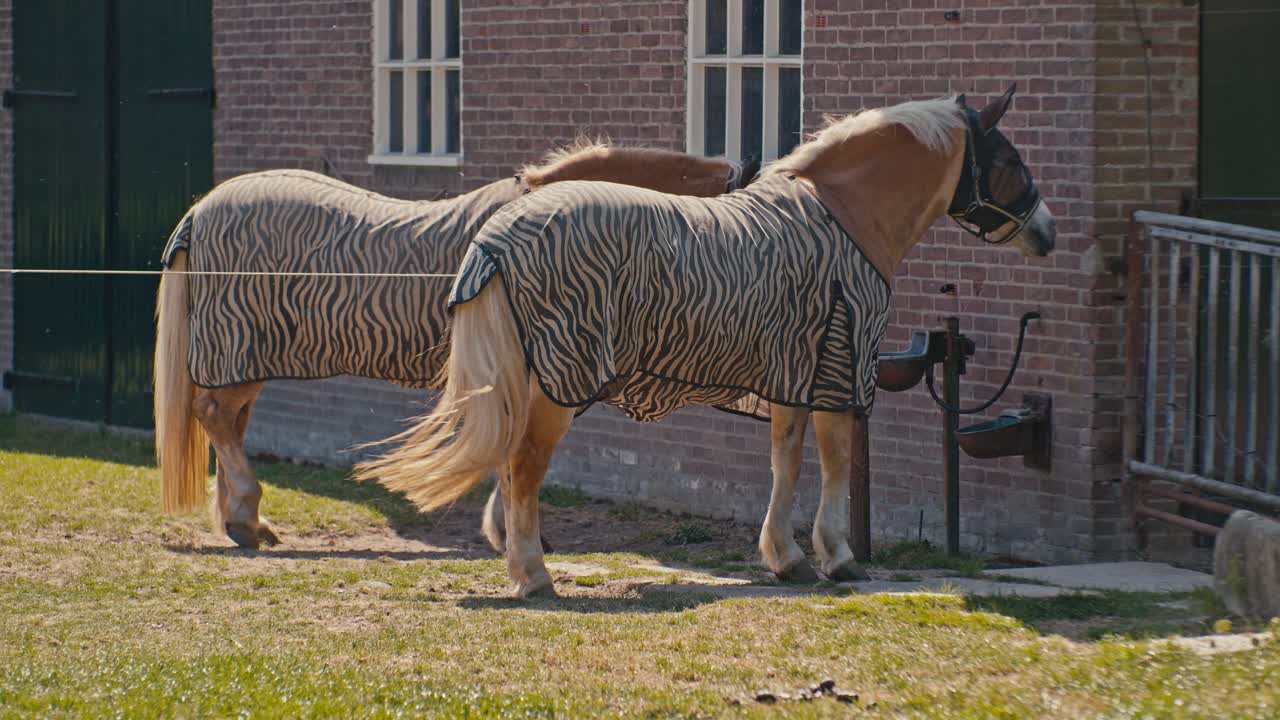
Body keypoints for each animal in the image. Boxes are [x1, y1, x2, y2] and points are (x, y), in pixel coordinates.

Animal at [153, 140, 760, 550]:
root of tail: (201, 211)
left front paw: (508, 532)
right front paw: (515, 533)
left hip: (244, 360)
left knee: (229, 423)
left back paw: (243, 521)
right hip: (237, 350)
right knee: (215, 415)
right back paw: (247, 517)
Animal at [355, 88, 1058, 597]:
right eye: (1011, 162)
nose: (1047, 233)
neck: (840, 215)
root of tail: (500, 235)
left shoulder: (790, 373)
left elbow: (785, 461)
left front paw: (785, 557)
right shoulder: (837, 369)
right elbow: (833, 461)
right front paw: (836, 557)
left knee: (508, 463)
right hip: (562, 383)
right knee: (524, 467)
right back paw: (533, 576)